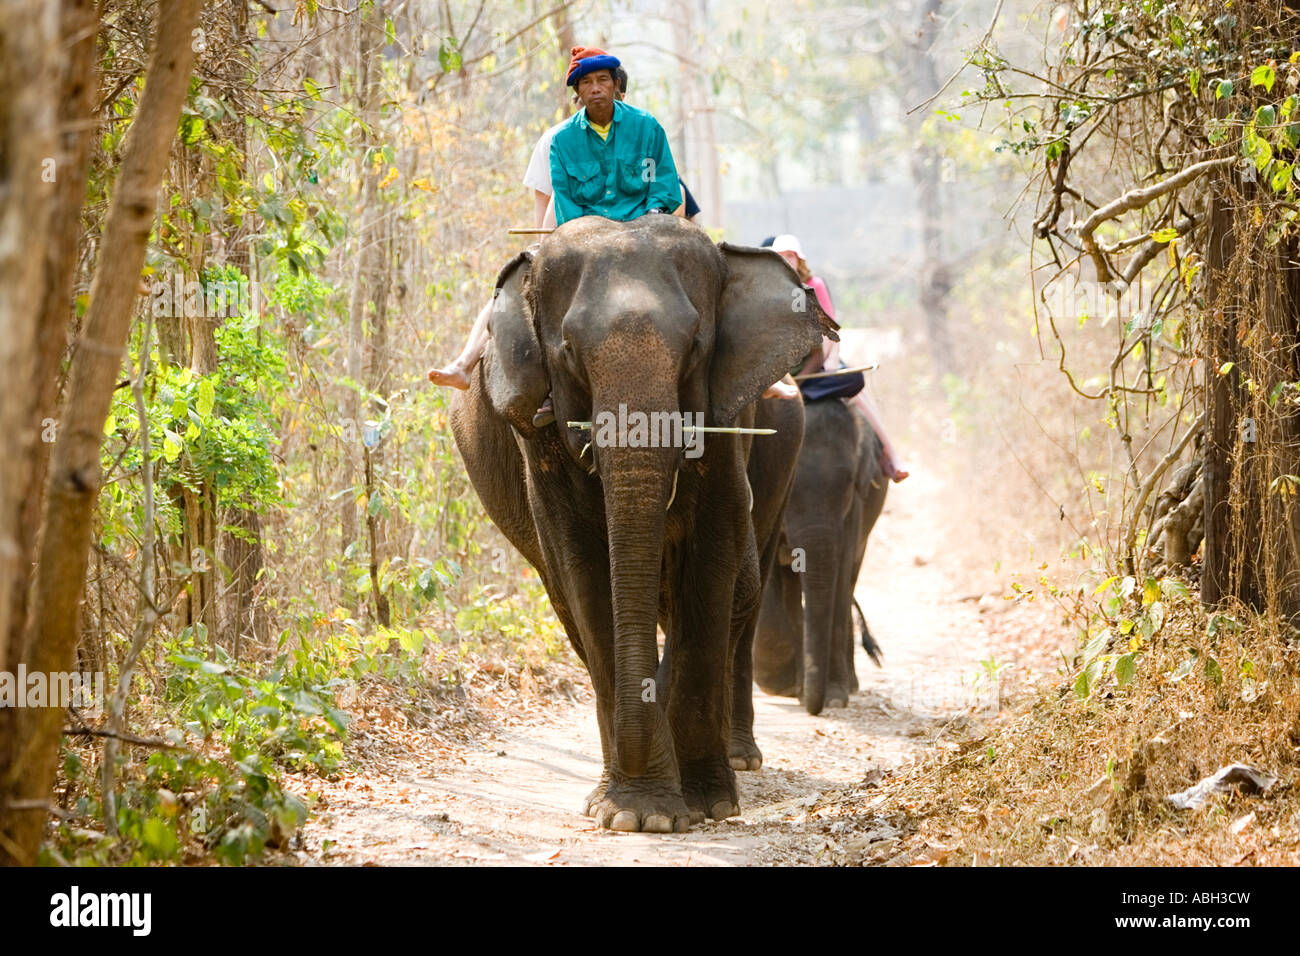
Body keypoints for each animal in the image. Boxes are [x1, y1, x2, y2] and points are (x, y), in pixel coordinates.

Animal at [449, 214, 834, 832]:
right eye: (569, 352)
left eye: (697, 346)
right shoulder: (538, 435)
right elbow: (585, 565)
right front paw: (636, 814)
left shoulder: (726, 425)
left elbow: (713, 557)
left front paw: (703, 805)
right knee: (568, 601)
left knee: (741, 592)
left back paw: (735, 760)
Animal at [752, 396, 888, 715]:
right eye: (789, 485)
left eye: (849, 481)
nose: (814, 708)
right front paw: (786, 685)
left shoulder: (854, 506)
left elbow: (838, 575)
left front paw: (834, 698)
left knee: (848, 582)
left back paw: (846, 686)